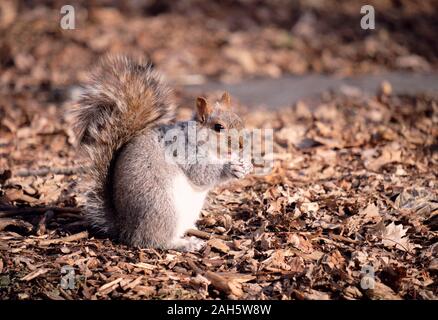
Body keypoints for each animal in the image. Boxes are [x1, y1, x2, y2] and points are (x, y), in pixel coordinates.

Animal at [70, 55, 252, 251]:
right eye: (218, 127)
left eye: (240, 120)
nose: (242, 145)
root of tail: (124, 227)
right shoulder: (184, 152)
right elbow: (201, 174)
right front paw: (230, 168)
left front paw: (246, 165)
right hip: (163, 208)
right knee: (152, 240)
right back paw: (186, 244)